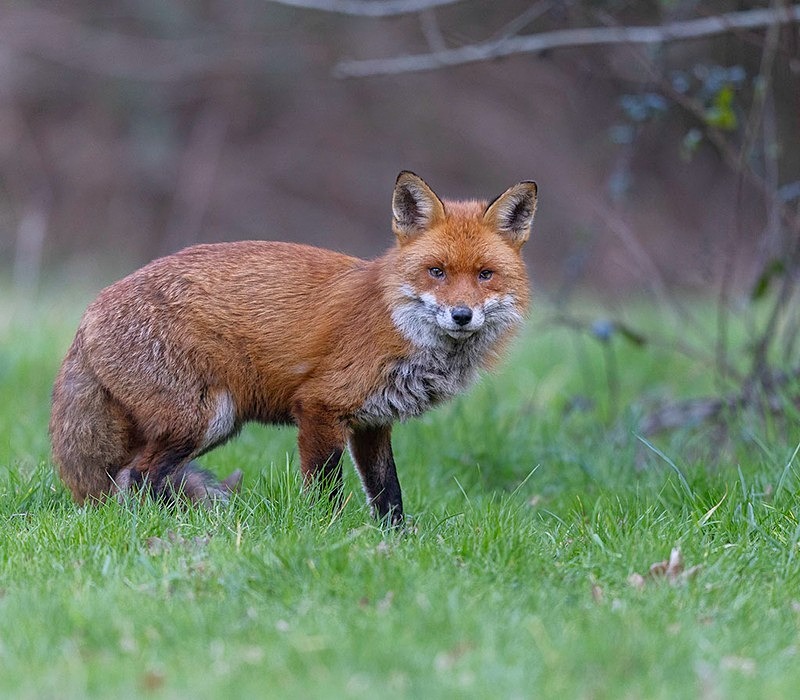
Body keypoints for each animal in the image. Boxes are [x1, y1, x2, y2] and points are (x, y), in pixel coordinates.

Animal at [49, 171, 537, 525]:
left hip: (209, 425)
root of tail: (90, 311)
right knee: (141, 476)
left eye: (485, 275)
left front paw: (396, 544)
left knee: (133, 477)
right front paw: (328, 536)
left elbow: (388, 494)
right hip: (204, 418)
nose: (461, 315)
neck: (399, 323)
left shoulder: (372, 422)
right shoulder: (320, 407)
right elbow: (326, 493)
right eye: (437, 272)